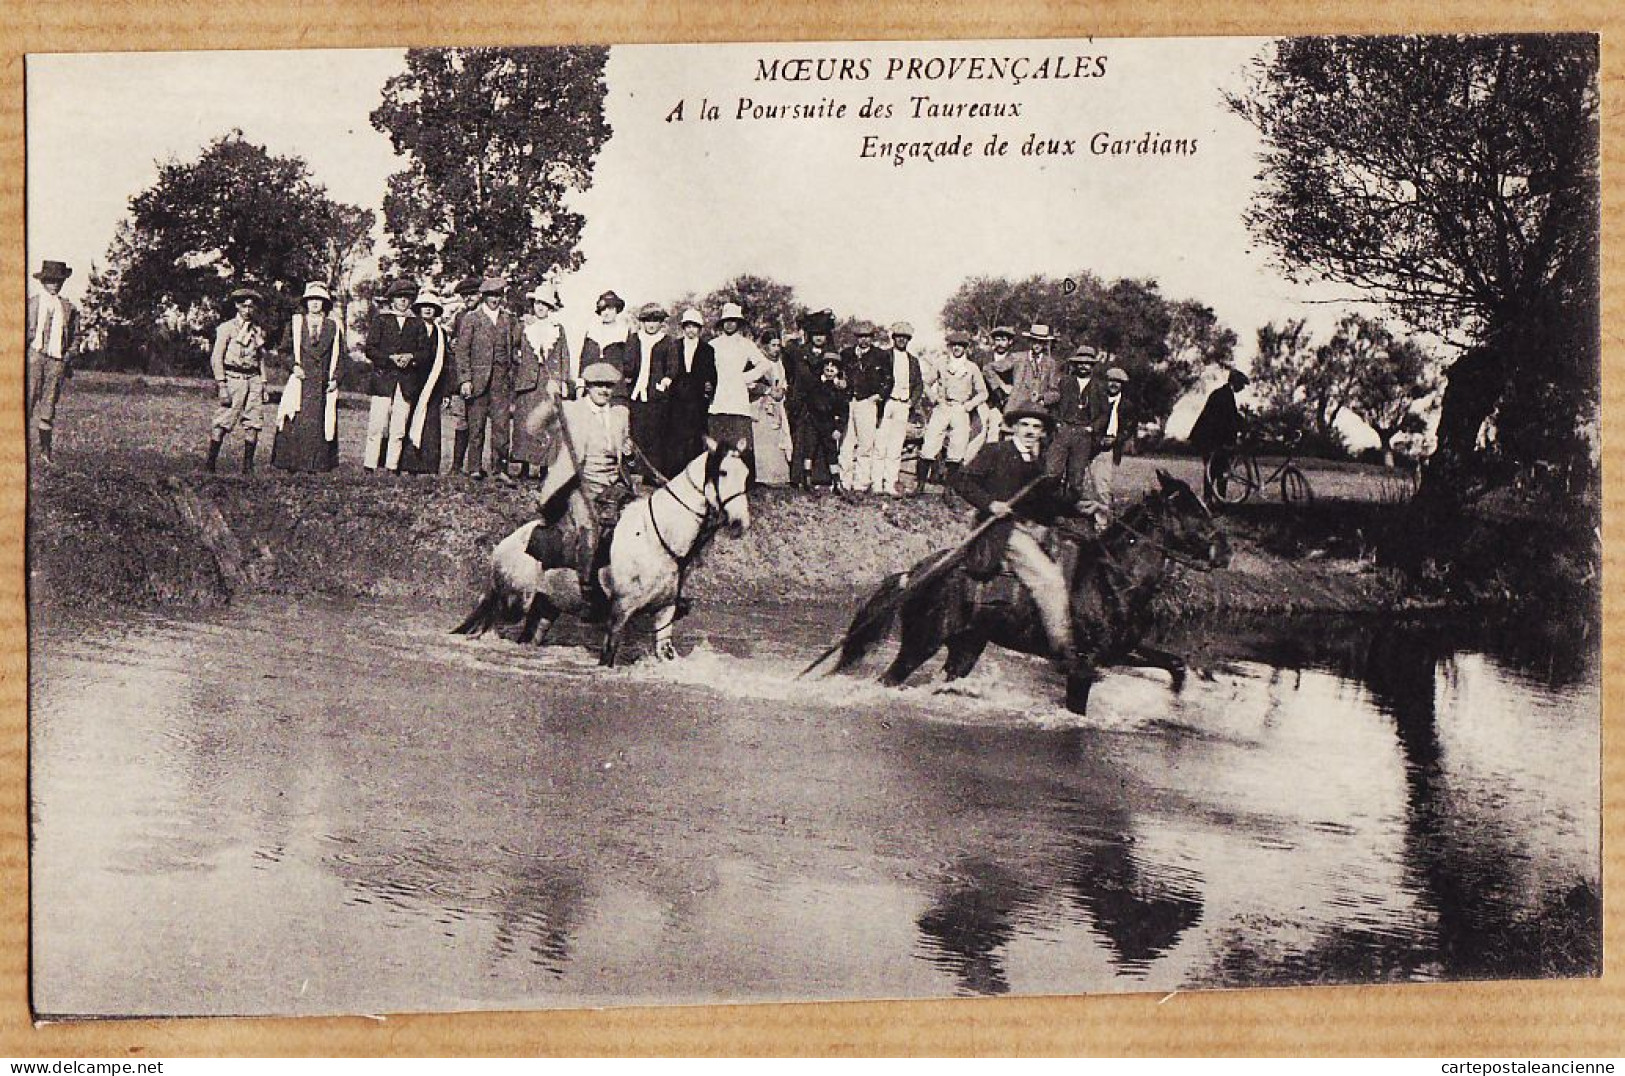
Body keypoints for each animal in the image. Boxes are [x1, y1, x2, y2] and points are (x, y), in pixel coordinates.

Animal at [455, 438, 750, 666]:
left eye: (746, 473)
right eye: (723, 472)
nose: (740, 523)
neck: (658, 538)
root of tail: (503, 547)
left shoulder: (665, 612)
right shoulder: (620, 611)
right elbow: (608, 655)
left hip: (545, 608)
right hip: (511, 606)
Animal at [832, 474, 1222, 715]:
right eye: (1189, 509)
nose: (1224, 549)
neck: (1112, 579)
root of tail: (913, 573)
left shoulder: (1121, 651)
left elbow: (1175, 663)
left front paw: (1176, 700)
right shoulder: (1082, 666)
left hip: (967, 646)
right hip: (920, 643)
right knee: (890, 679)